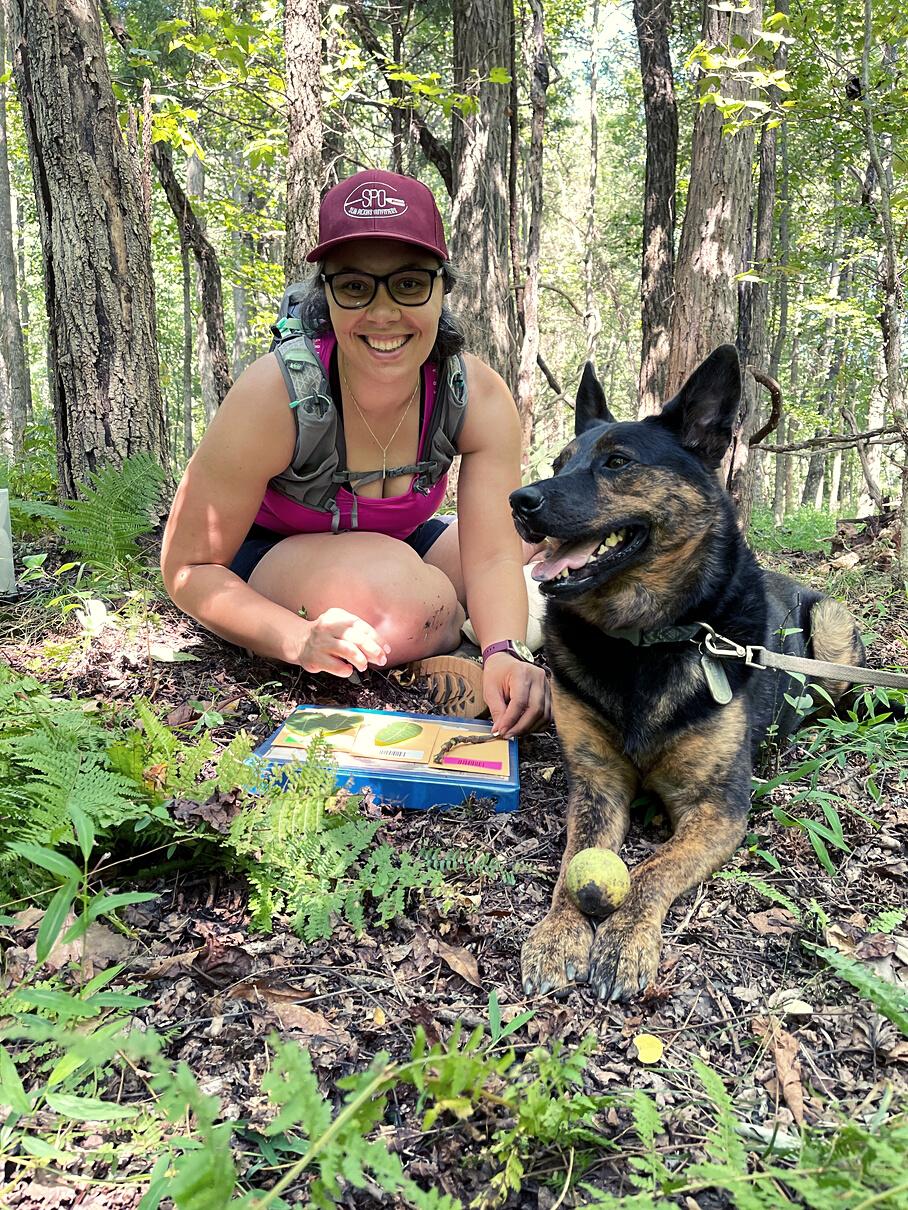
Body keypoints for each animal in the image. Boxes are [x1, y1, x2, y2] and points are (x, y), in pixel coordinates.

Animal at [511, 345, 864, 1001]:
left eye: (617, 462)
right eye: (558, 463)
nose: (519, 501)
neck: (643, 641)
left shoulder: (717, 807)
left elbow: (654, 867)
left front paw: (624, 939)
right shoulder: (596, 785)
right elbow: (577, 860)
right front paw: (558, 935)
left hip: (829, 627)